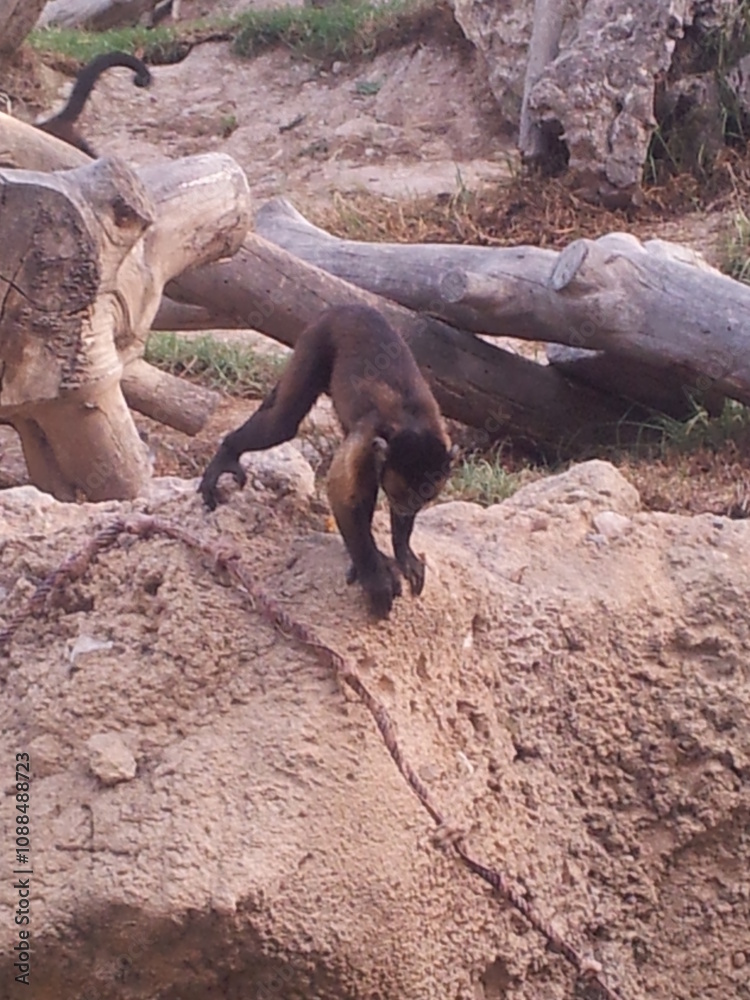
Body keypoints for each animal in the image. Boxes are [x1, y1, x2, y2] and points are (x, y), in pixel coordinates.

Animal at [199, 305, 456, 619]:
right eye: (401, 494)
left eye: (423, 497)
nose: (407, 508)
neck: (413, 423)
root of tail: (351, 307)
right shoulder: (368, 438)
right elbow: (342, 497)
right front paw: (374, 575)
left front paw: (402, 551)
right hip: (317, 337)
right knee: (283, 422)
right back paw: (227, 452)